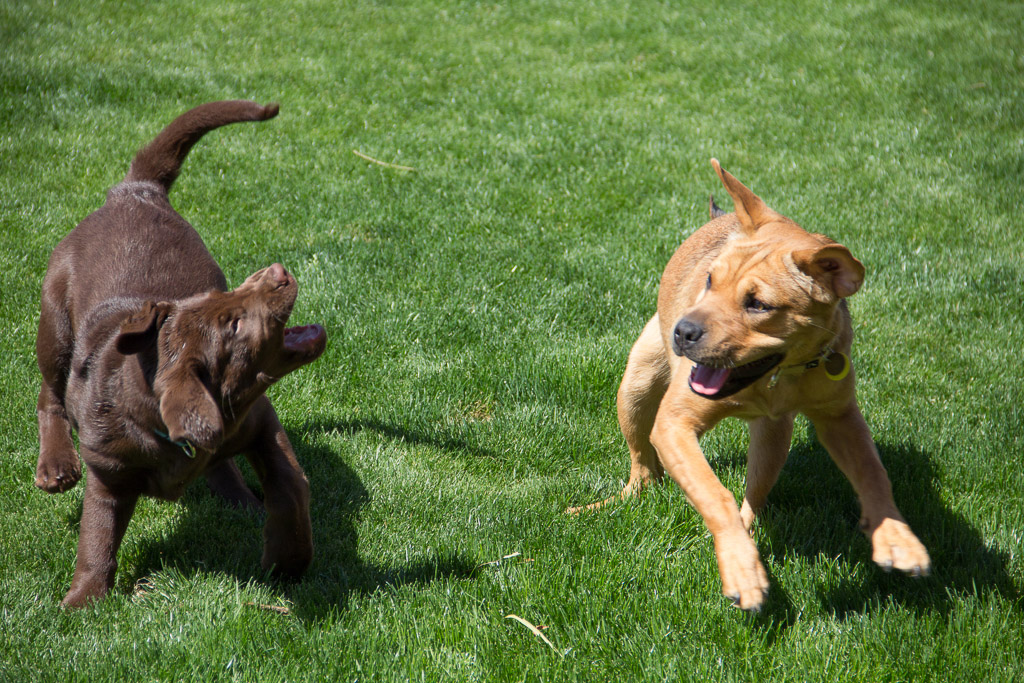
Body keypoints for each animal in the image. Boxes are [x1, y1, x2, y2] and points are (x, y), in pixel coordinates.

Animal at [36, 98, 325, 606]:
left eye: (223, 297)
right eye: (234, 323)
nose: (277, 271)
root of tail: (134, 192)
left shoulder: (261, 420)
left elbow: (291, 484)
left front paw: (287, 559)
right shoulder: (108, 472)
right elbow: (97, 535)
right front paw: (82, 602)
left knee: (224, 463)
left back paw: (240, 498)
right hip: (55, 324)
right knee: (49, 395)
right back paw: (55, 466)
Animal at [573, 161, 933, 614]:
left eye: (758, 304)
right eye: (710, 280)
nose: (683, 332)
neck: (775, 377)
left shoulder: (840, 417)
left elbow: (872, 471)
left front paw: (895, 535)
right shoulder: (673, 424)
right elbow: (714, 494)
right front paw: (741, 570)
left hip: (772, 438)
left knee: (754, 494)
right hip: (636, 390)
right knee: (643, 466)